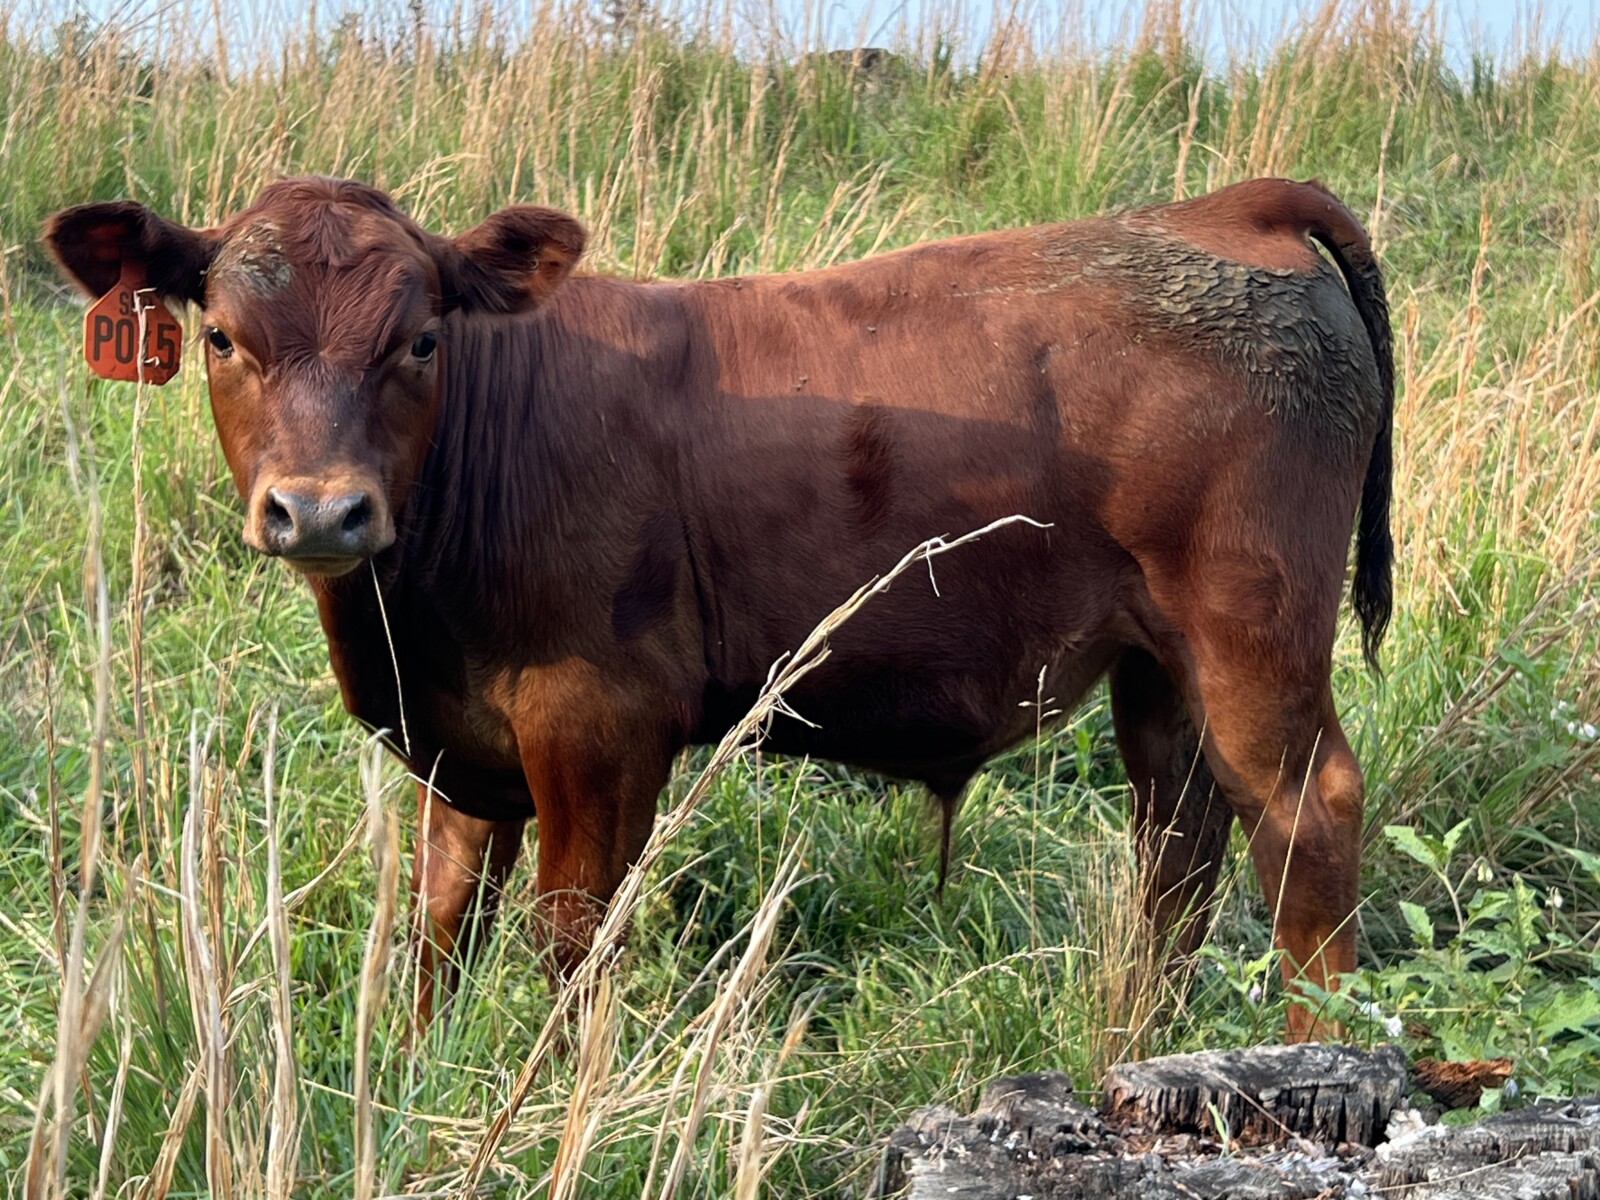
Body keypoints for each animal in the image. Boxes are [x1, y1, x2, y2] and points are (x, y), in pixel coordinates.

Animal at [45, 175, 1392, 1041]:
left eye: (421, 340)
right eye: (224, 336)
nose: (321, 513)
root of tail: (1220, 207)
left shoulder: (597, 726)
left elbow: (571, 940)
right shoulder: (459, 746)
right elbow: (440, 928)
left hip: (1251, 634)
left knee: (1305, 817)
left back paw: (1309, 1056)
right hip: (1160, 664)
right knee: (1179, 841)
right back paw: (1132, 1046)